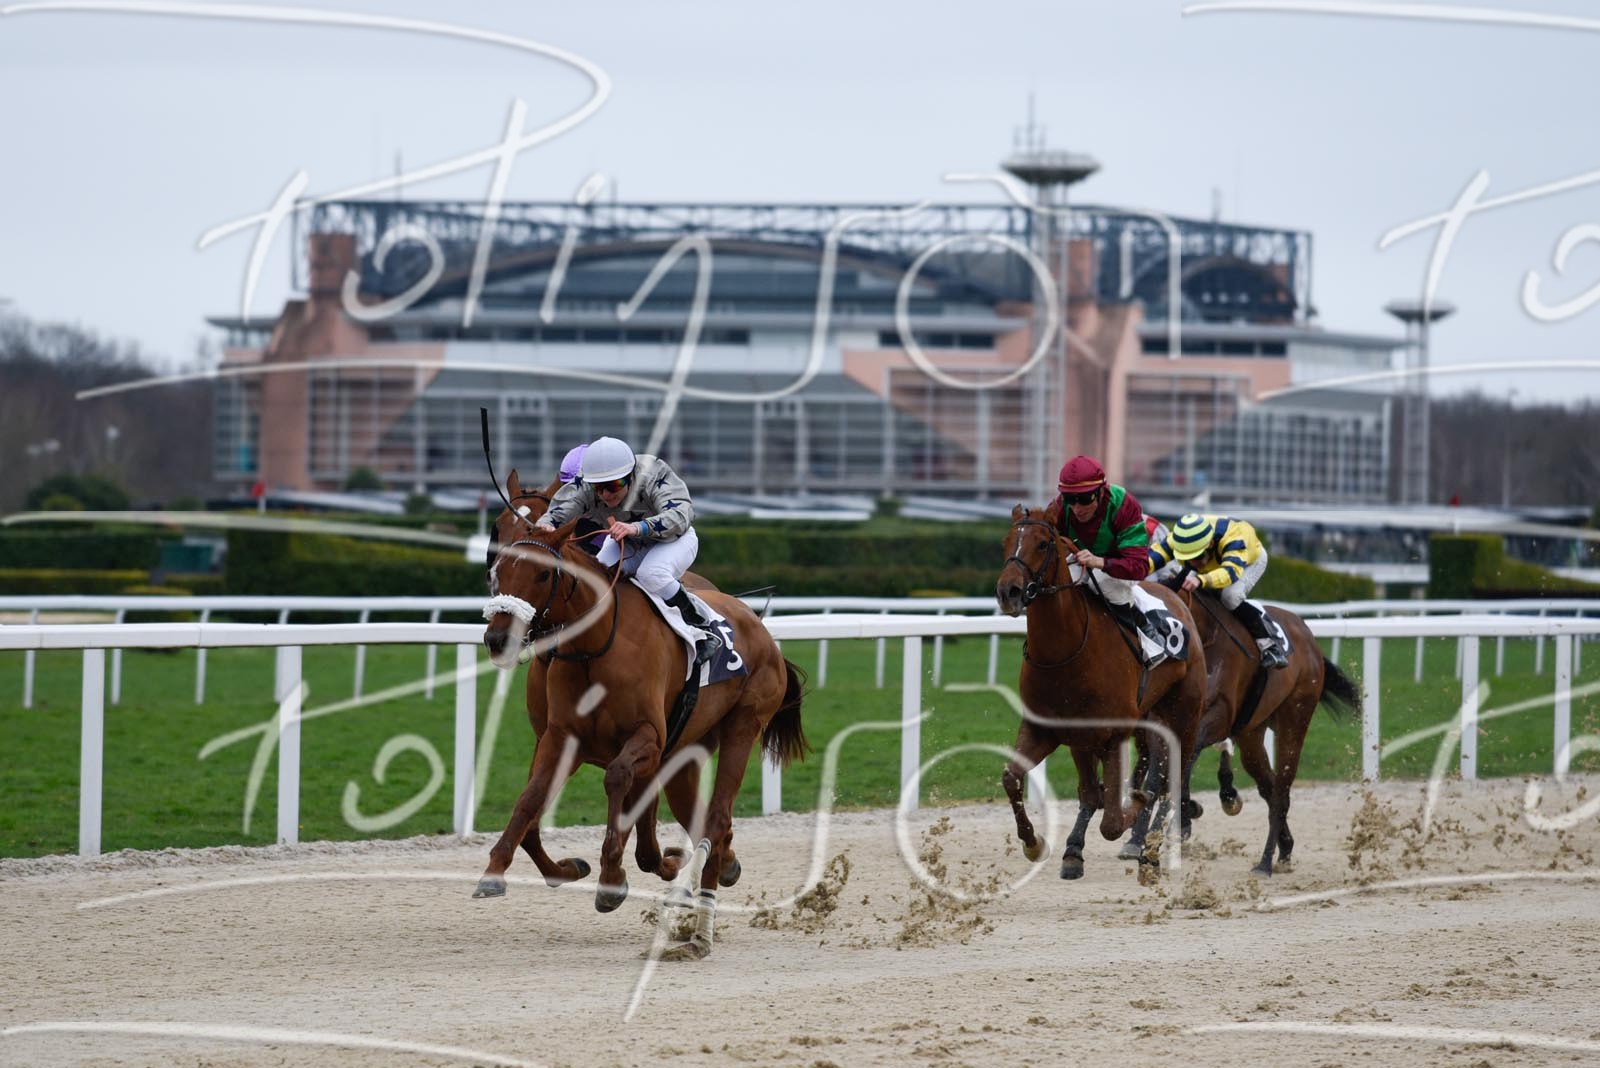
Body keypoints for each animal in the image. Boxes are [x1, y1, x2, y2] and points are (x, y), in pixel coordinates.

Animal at [474, 469, 808, 959]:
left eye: (542, 572)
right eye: (499, 545)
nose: (499, 638)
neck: (594, 644)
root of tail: (758, 626)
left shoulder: (648, 736)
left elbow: (617, 781)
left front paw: (612, 878)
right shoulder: (558, 737)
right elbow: (530, 801)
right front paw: (498, 872)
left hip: (743, 725)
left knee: (717, 819)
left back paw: (699, 926)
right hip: (688, 747)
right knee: (704, 821)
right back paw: (710, 875)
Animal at [994, 504, 1220, 879]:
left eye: (1043, 543)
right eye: (1006, 542)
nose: (1008, 591)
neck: (1065, 651)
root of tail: (1176, 595)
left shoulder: (1113, 735)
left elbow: (1113, 820)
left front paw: (1136, 804)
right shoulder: (1049, 729)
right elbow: (1013, 779)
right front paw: (1036, 844)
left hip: (1184, 718)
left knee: (1171, 782)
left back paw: (1150, 849)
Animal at [1122, 586, 1360, 875]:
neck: (1205, 638)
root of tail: (1308, 636)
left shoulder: (1216, 718)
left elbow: (1183, 764)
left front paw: (1182, 818)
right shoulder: (1163, 723)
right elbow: (1156, 776)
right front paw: (1138, 838)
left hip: (1295, 717)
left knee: (1281, 788)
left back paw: (1265, 862)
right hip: (1252, 734)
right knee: (1269, 785)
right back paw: (1284, 847)